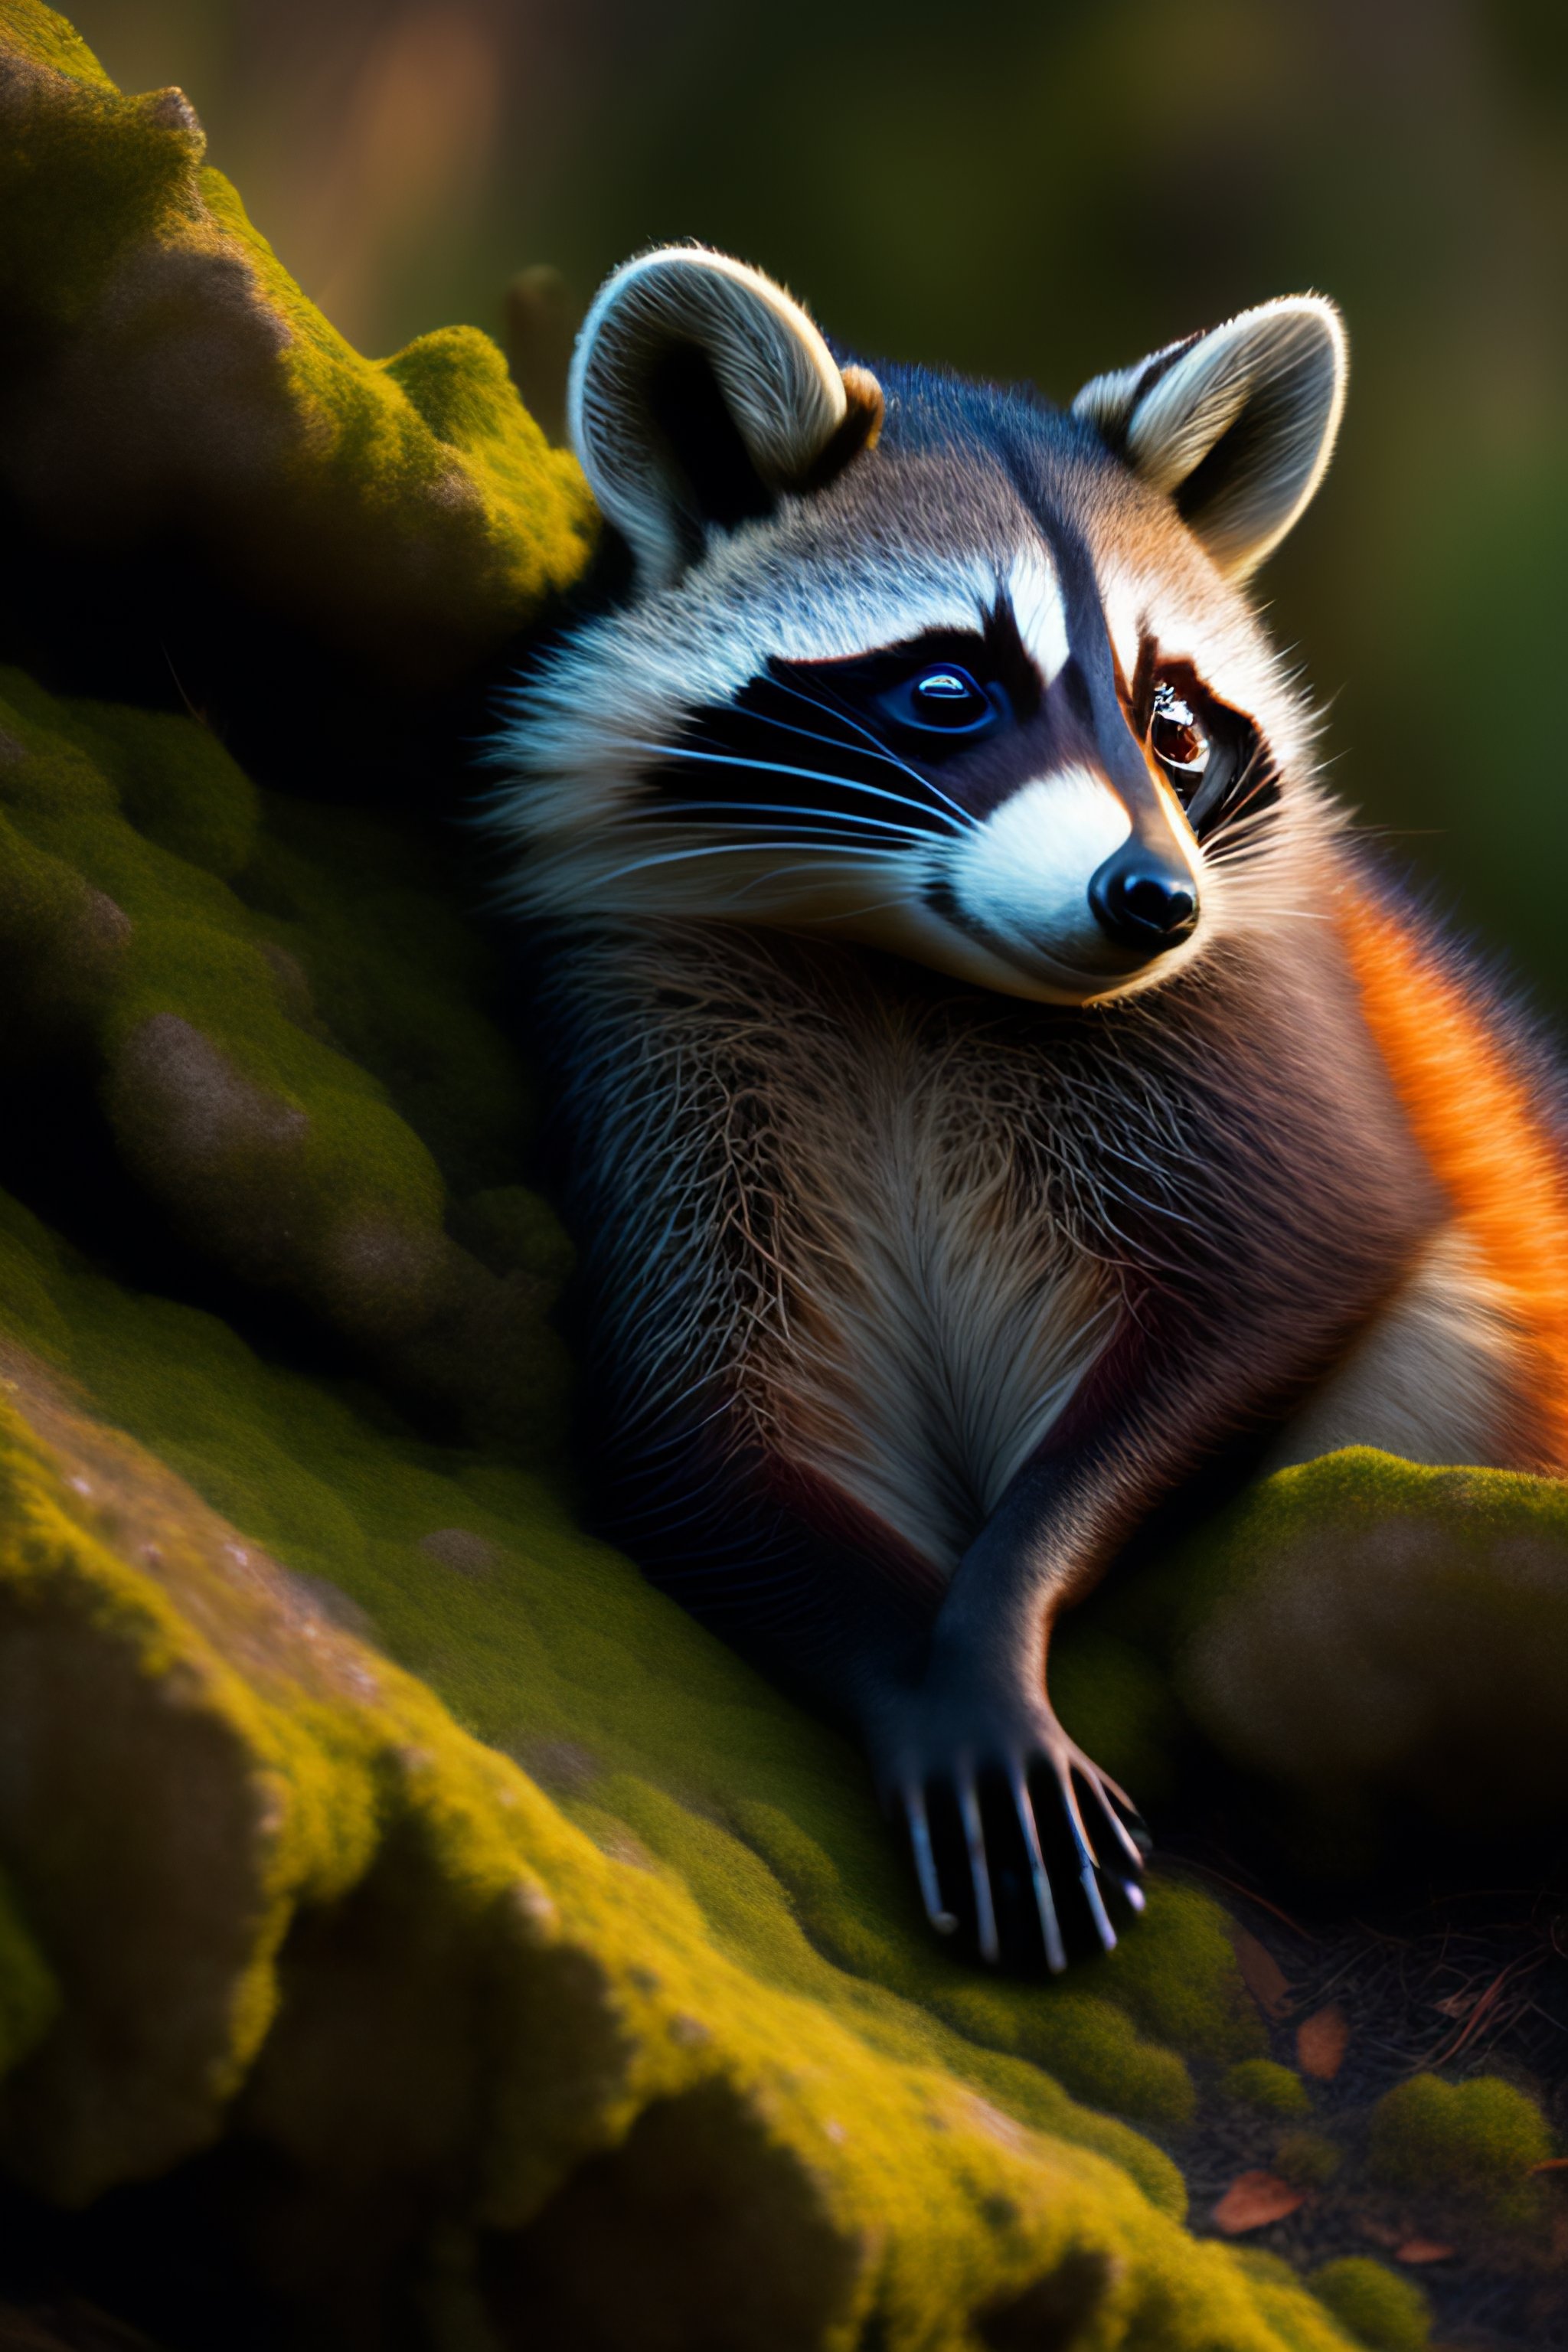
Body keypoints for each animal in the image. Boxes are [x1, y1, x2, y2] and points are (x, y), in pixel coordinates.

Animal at [493, 247, 1568, 1969]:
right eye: (949, 690)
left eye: (1175, 728)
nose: (1151, 899)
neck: (905, 963)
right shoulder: (653, 1026)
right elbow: (698, 1423)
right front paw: (929, 1677)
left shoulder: (1257, 1031)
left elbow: (1295, 1269)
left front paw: (1001, 1613)